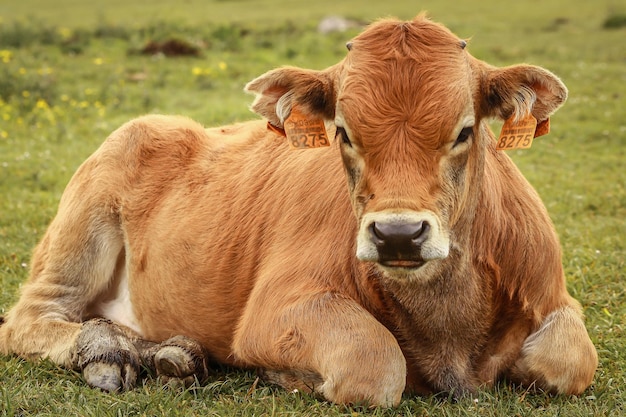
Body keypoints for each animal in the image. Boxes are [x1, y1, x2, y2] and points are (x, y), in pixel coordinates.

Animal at [0, 14, 596, 404]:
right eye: (344, 133)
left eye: (466, 131)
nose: (398, 234)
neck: (447, 329)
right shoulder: (276, 310)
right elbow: (373, 364)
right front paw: (286, 376)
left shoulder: (553, 294)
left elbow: (571, 360)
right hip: (78, 233)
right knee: (29, 319)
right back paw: (113, 353)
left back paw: (170, 354)